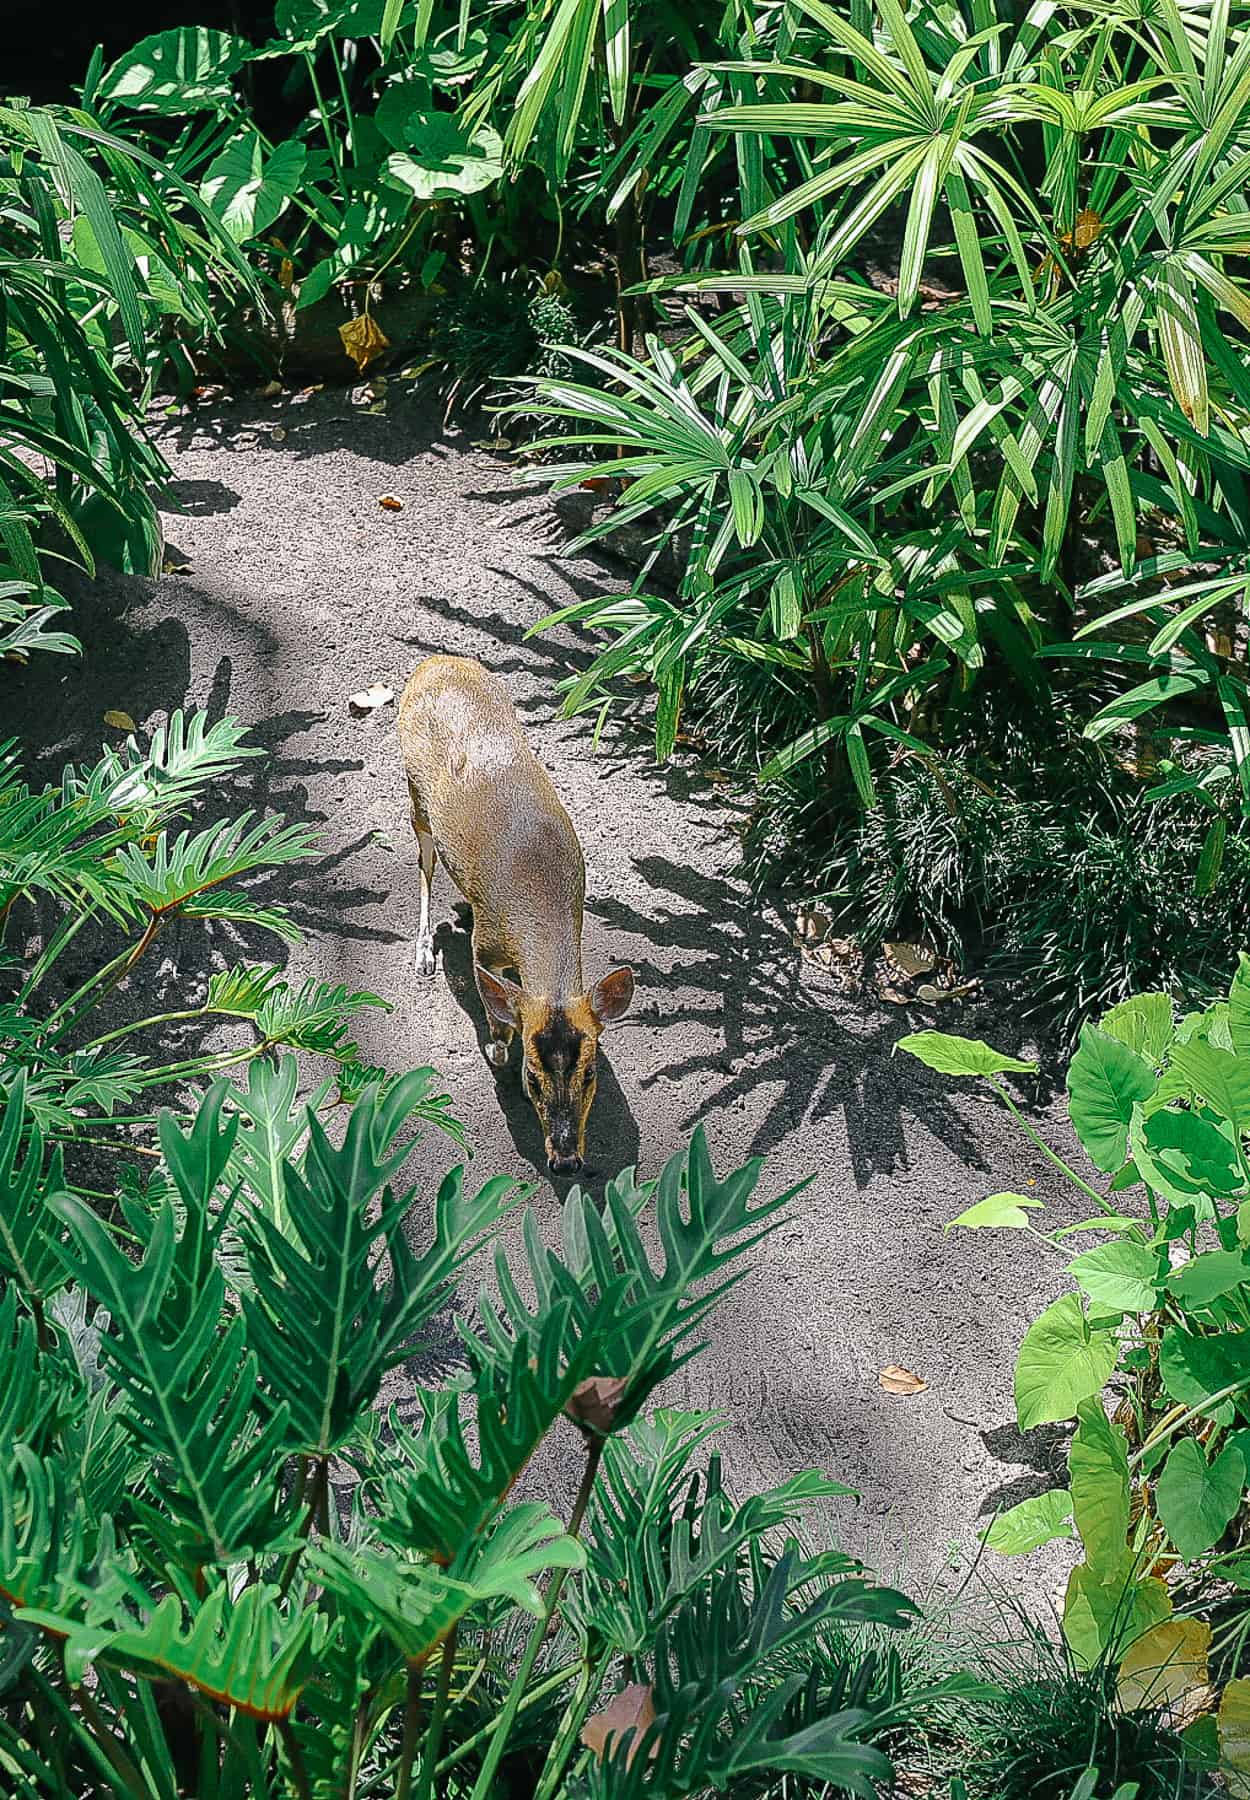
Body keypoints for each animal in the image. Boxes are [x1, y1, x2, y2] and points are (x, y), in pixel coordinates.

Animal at [399, 655, 637, 1173]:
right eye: (531, 1077)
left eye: (591, 1073)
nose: (565, 1161)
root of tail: (432, 662)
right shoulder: (486, 946)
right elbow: (499, 1015)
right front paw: (494, 1047)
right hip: (414, 791)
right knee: (424, 863)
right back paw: (425, 953)